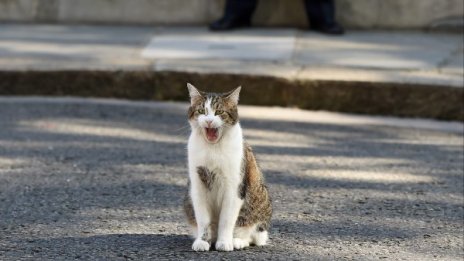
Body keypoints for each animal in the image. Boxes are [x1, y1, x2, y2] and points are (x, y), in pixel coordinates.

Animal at [183, 83, 272, 250]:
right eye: (201, 111)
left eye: (219, 112)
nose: (209, 121)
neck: (213, 148)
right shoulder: (198, 186)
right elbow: (203, 219)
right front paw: (203, 241)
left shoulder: (234, 187)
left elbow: (227, 219)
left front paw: (224, 242)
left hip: (257, 205)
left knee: (252, 234)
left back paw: (237, 240)